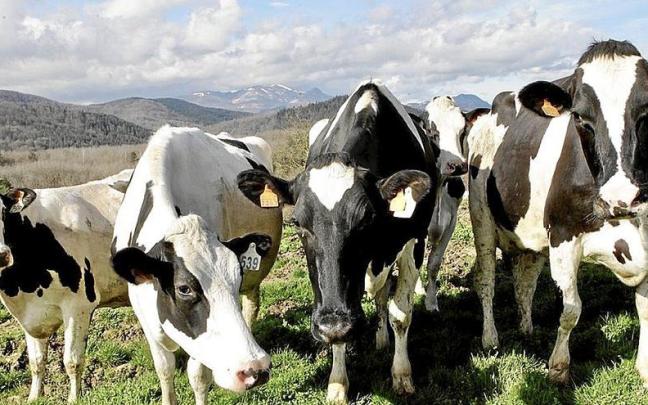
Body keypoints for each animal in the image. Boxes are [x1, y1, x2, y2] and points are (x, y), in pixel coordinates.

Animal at [0, 171, 132, 403]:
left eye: (3, 214)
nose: (1, 255)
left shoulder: (78, 305)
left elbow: (72, 360)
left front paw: (74, 399)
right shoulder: (30, 316)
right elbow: (36, 362)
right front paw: (34, 397)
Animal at [111, 126, 282, 405]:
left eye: (237, 276)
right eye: (184, 289)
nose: (254, 369)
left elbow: (199, 377)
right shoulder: (144, 315)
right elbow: (165, 369)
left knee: (251, 304)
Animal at [237, 81, 439, 403]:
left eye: (367, 220)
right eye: (298, 224)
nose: (335, 323)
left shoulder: (414, 241)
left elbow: (401, 313)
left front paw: (402, 374)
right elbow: (339, 334)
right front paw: (337, 383)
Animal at [418, 97, 489, 311]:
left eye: (463, 130)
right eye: (431, 131)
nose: (456, 165)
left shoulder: (451, 223)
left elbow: (434, 263)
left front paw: (431, 302)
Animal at [467, 39, 648, 385]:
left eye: (646, 110)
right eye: (580, 117)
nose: (622, 198)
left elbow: (645, 308)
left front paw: (644, 368)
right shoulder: (563, 237)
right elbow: (571, 309)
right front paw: (558, 367)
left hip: (531, 235)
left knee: (525, 281)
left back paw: (526, 328)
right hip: (481, 219)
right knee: (486, 281)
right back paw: (490, 338)